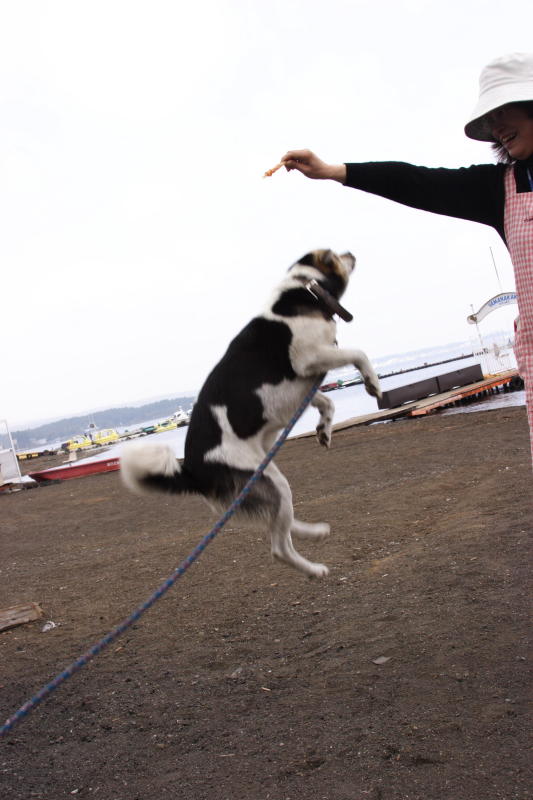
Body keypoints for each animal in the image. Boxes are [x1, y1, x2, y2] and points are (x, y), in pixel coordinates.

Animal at [121, 248, 378, 576]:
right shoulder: (309, 359)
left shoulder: (304, 384)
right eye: (334, 254)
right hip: (271, 483)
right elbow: (359, 354)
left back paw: (313, 531)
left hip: (267, 479)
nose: (351, 253)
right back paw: (313, 570)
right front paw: (373, 383)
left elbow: (327, 403)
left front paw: (324, 431)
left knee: (277, 521)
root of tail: (191, 472)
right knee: (278, 547)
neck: (306, 291)